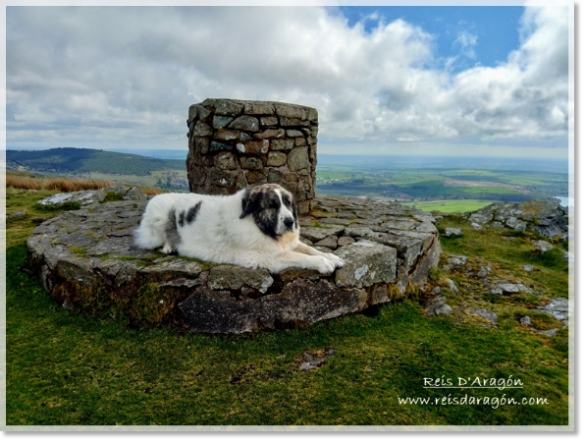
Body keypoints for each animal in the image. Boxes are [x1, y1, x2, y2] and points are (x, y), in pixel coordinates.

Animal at [135, 182, 344, 272]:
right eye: (272, 205)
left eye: (288, 203)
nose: (290, 221)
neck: (257, 224)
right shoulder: (263, 257)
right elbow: (299, 256)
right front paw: (322, 263)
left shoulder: (289, 243)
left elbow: (309, 248)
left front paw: (331, 257)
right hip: (159, 214)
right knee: (159, 237)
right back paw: (169, 247)